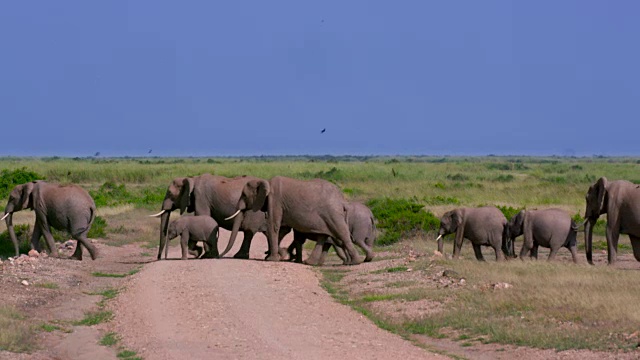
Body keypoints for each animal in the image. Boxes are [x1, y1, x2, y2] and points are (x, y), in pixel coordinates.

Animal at [149, 174, 282, 260]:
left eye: (170, 194)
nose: (159, 258)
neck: (192, 179)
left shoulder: (201, 198)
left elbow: (202, 216)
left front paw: (205, 256)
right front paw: (201, 254)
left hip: (254, 211)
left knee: (249, 231)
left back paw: (242, 256)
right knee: (264, 232)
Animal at [225, 176, 364, 264]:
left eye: (244, 195)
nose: (221, 256)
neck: (266, 181)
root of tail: (342, 199)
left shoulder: (275, 201)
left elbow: (273, 226)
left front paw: (272, 259)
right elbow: (281, 230)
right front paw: (279, 254)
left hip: (333, 214)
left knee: (342, 233)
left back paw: (355, 262)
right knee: (323, 236)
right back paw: (310, 263)